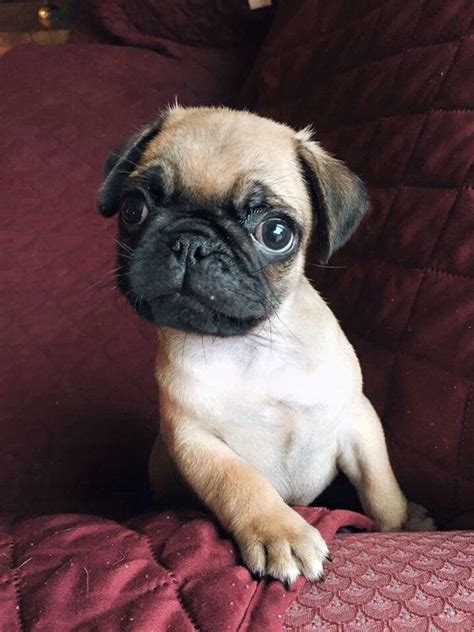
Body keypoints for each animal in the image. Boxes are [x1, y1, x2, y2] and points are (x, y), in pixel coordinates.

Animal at [98, 106, 436, 584]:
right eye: (133, 209)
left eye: (276, 233)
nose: (191, 242)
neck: (251, 347)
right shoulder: (195, 441)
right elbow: (241, 482)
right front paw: (281, 531)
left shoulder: (358, 421)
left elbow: (380, 486)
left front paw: (401, 523)